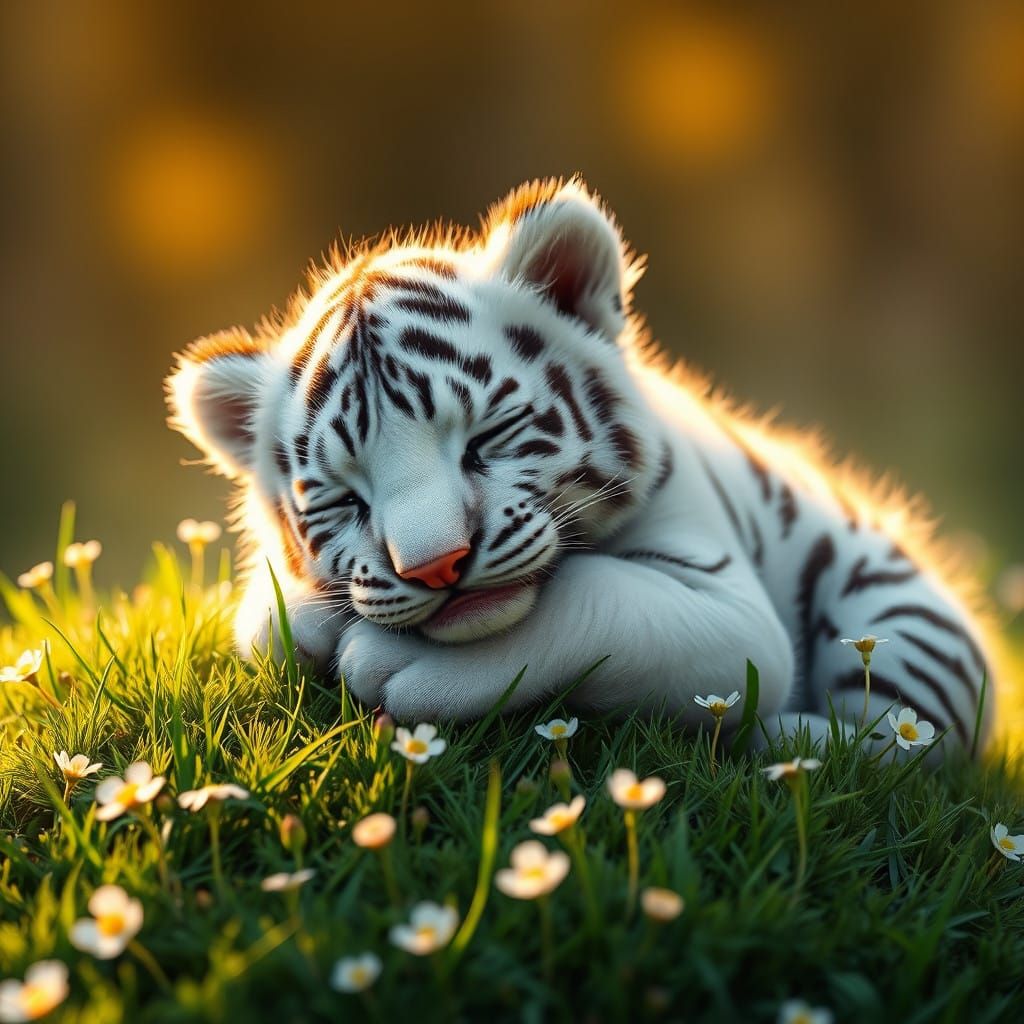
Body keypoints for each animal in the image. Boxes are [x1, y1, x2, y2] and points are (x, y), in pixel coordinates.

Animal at [165, 176, 997, 752]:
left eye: (489, 437)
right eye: (346, 500)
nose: (435, 566)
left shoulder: (729, 613)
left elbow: (593, 596)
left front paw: (389, 664)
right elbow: (268, 624)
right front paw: (300, 615)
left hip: (901, 624)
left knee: (905, 741)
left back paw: (784, 740)